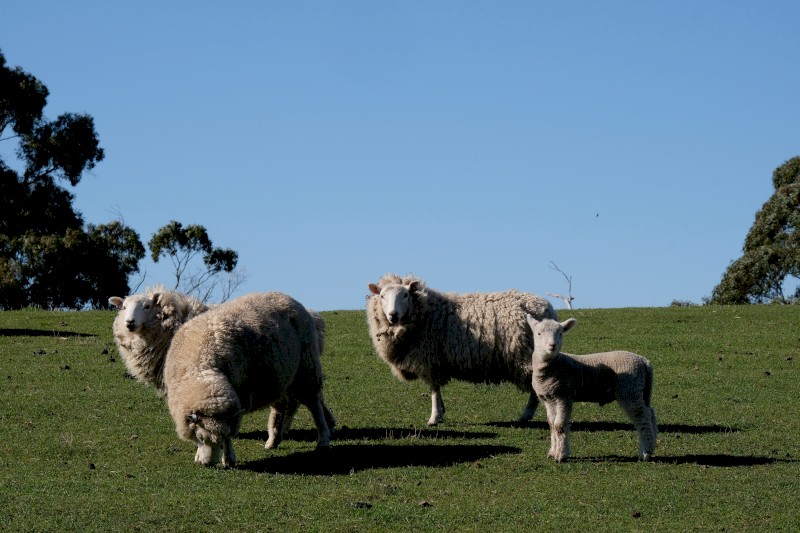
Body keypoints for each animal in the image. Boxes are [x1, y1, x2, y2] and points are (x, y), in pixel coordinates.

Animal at [163, 292, 335, 468]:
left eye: (221, 439)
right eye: (200, 437)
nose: (208, 464)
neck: (203, 370)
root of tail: (289, 298)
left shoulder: (233, 405)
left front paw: (229, 459)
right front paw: (202, 456)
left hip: (306, 368)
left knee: (314, 405)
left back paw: (323, 439)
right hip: (278, 378)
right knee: (280, 408)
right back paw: (273, 440)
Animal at [366, 273, 557, 426]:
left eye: (405, 295)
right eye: (382, 296)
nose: (393, 315)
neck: (426, 312)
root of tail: (546, 307)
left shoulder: (431, 359)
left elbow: (434, 390)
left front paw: (434, 417)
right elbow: (436, 391)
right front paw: (441, 412)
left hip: (526, 355)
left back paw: (527, 415)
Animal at [525, 315, 657, 462]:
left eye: (560, 333)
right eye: (538, 333)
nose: (552, 345)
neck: (555, 366)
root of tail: (644, 361)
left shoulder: (564, 396)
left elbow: (559, 425)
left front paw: (561, 455)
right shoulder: (549, 399)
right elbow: (552, 424)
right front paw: (553, 452)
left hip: (629, 389)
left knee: (642, 418)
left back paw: (646, 453)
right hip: (641, 391)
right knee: (650, 413)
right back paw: (650, 446)